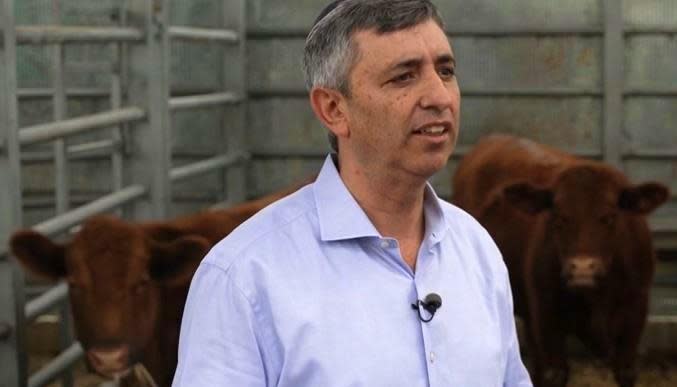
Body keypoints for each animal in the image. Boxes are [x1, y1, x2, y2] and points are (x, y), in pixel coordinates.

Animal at [452, 134, 668, 387]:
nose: (582, 268)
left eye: (609, 217)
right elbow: (555, 372)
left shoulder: (634, 317)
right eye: (559, 217)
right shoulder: (547, 319)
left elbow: (625, 371)